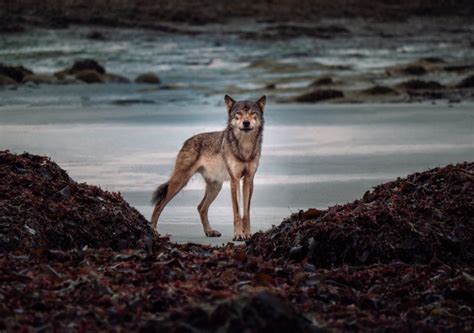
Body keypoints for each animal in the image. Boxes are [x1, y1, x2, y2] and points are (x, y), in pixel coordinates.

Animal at [150, 94, 264, 240]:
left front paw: (248, 234)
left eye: (252, 113)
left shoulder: (249, 179)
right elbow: (237, 212)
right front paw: (238, 235)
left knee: (201, 207)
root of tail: (187, 140)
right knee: (159, 205)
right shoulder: (235, 180)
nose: (246, 123)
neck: (245, 146)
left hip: (215, 187)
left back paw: (209, 231)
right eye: (238, 113)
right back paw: (152, 230)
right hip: (179, 182)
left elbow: (246, 212)